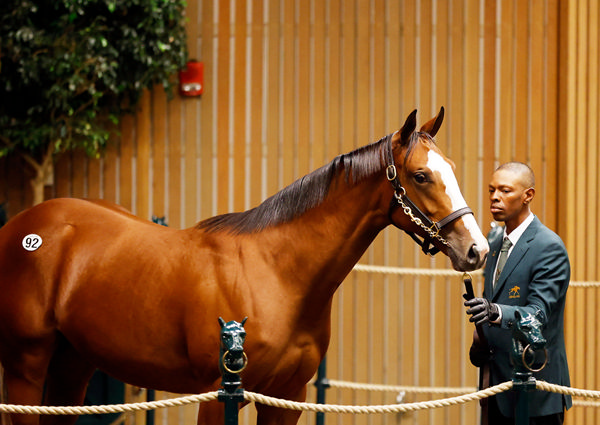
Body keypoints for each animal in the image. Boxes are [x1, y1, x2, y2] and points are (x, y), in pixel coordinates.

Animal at [0, 107, 488, 424]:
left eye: (451, 167)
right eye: (421, 176)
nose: (477, 249)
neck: (276, 273)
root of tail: (20, 225)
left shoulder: (285, 398)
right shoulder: (219, 396)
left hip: (71, 368)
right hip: (26, 366)